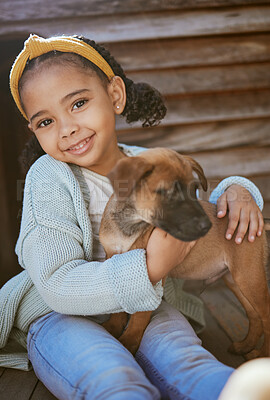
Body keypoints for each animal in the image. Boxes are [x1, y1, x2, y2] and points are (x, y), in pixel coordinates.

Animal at [99, 148, 270, 358]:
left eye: (194, 189)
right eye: (169, 193)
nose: (206, 226)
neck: (130, 223)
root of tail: (260, 219)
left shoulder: (150, 273)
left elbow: (139, 316)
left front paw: (128, 342)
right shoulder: (114, 262)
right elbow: (118, 306)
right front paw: (113, 328)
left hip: (249, 276)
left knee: (266, 315)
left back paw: (261, 353)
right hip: (235, 279)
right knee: (254, 315)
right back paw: (245, 346)